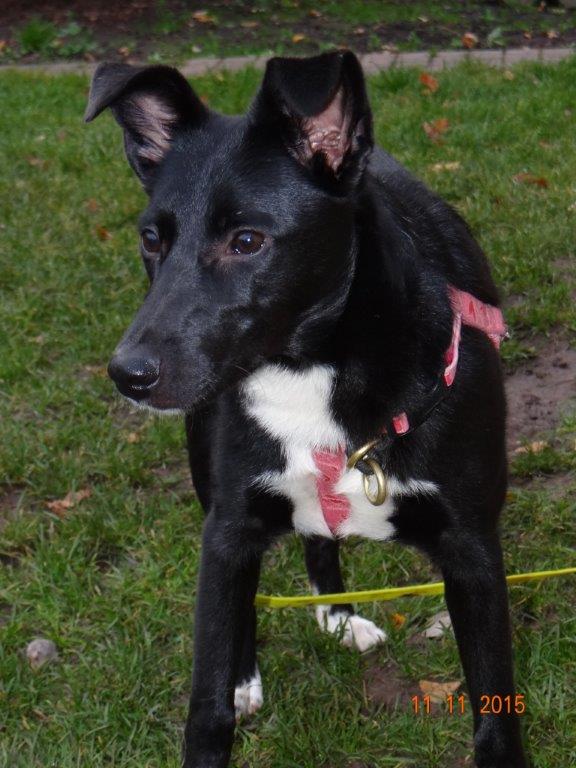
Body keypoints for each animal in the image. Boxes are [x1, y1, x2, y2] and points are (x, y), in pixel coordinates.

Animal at [85, 51, 528, 767]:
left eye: (246, 241)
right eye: (152, 239)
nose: (128, 375)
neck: (311, 370)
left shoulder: (473, 549)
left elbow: (495, 711)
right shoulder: (229, 528)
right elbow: (206, 705)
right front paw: (230, 689)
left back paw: (339, 616)